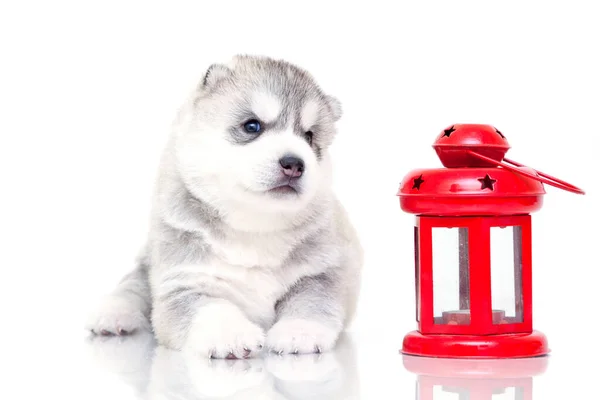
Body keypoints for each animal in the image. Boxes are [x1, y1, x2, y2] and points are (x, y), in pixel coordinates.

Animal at [86, 54, 364, 358]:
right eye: (252, 126)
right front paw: (230, 334)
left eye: (310, 137)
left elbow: (312, 301)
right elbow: (210, 308)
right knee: (133, 283)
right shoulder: (183, 280)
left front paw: (299, 331)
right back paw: (114, 312)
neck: (255, 225)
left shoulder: (321, 272)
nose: (294, 163)